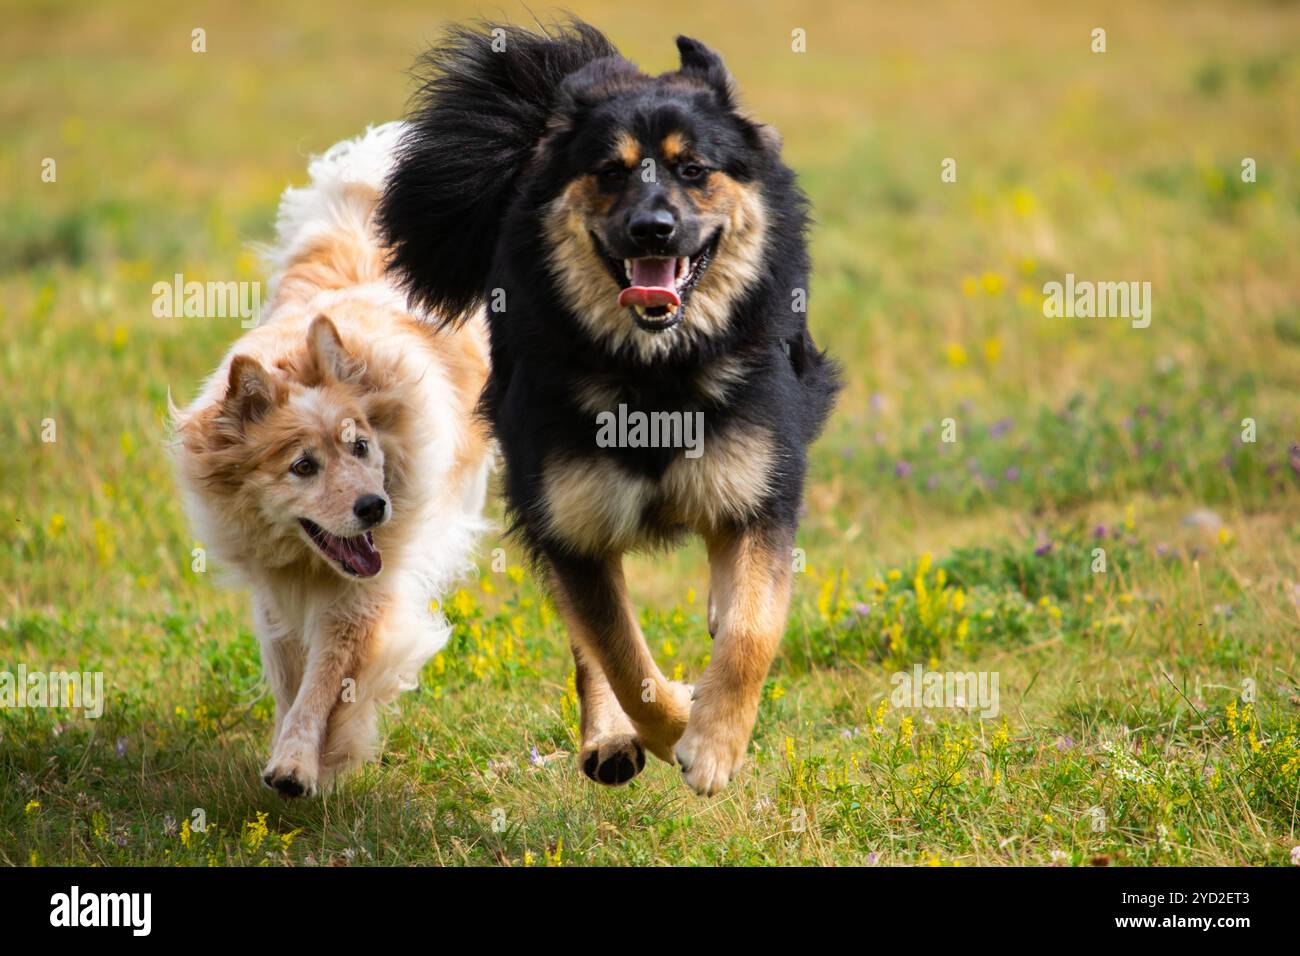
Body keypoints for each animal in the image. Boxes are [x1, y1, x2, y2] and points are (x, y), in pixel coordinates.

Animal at [379, 20, 837, 790]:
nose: (653, 229)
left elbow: (753, 627)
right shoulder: (571, 521)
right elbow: (620, 655)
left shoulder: (761, 488)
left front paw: (717, 743)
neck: (653, 376)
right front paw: (679, 727)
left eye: (693, 169)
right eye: (611, 172)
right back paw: (610, 739)